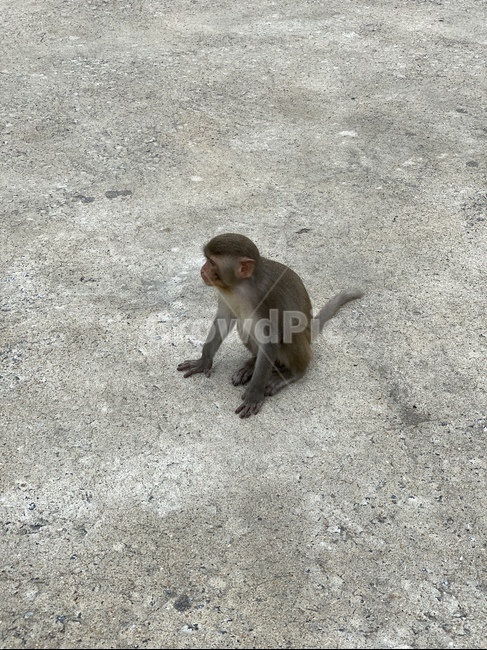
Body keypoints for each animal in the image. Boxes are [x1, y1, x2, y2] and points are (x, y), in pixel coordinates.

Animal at [177, 233, 363, 418]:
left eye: (212, 262)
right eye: (207, 260)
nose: (202, 270)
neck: (240, 286)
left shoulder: (266, 297)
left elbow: (271, 339)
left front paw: (254, 394)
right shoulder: (226, 294)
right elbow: (223, 320)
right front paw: (203, 361)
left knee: (290, 331)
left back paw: (292, 373)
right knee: (244, 326)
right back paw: (252, 364)